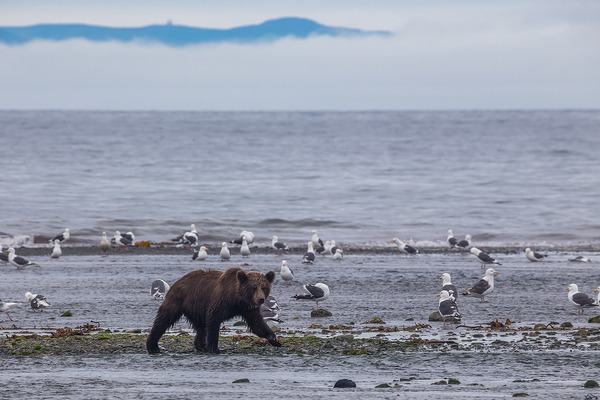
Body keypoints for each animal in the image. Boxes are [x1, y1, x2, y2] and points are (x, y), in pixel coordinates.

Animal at [146, 268, 280, 354]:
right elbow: (213, 320)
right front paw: (214, 348)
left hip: (196, 308)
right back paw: (153, 346)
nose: (261, 299)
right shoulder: (220, 301)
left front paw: (273, 339)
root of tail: (178, 281)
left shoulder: (248, 308)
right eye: (253, 287)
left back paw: (200, 346)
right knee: (164, 319)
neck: (236, 298)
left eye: (264, 287)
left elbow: (257, 323)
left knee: (200, 327)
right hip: (179, 299)